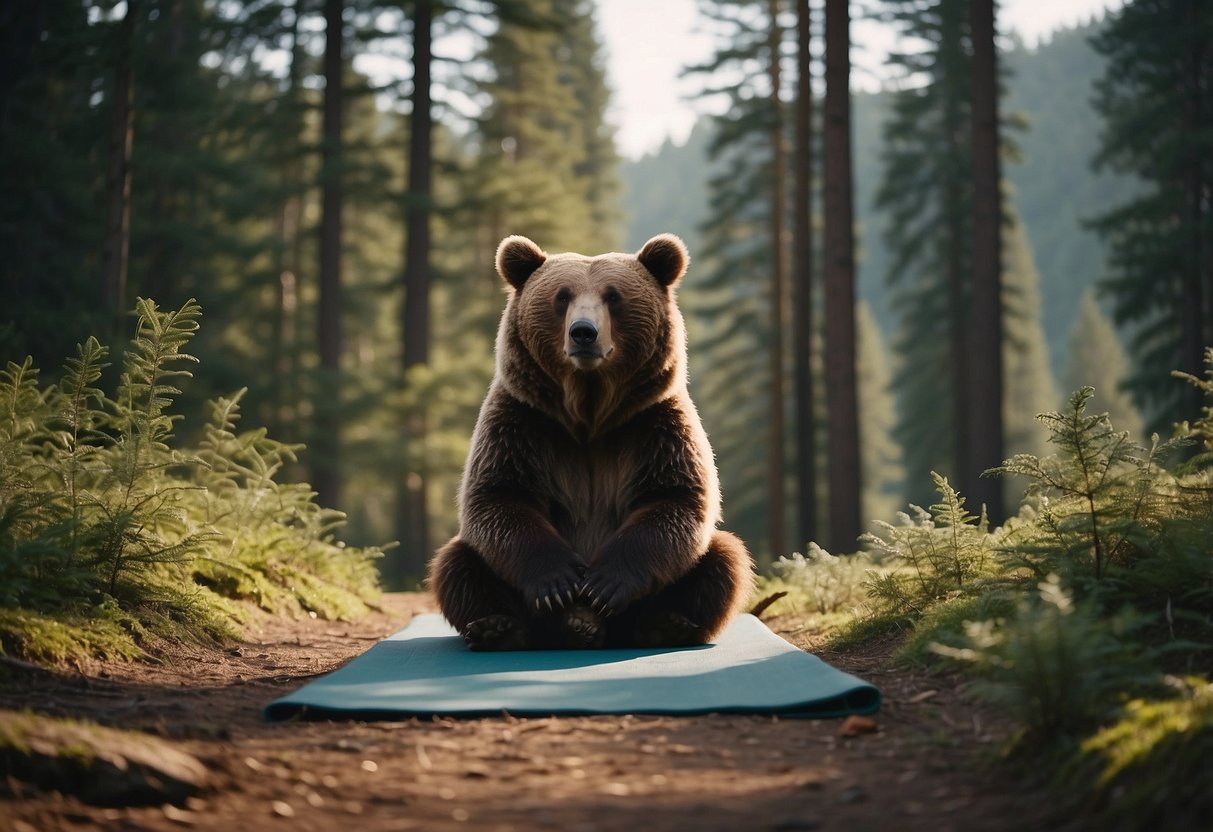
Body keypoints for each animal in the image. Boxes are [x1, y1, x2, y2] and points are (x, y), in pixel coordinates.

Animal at [424, 232, 747, 650]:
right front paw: (559, 582)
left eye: (614, 296)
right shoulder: (522, 421)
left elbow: (676, 499)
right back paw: (503, 628)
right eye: (561, 296)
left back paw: (664, 625)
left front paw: (603, 584)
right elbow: (498, 497)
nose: (583, 332)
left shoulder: (654, 424)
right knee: (456, 563)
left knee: (724, 558)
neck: (588, 415)